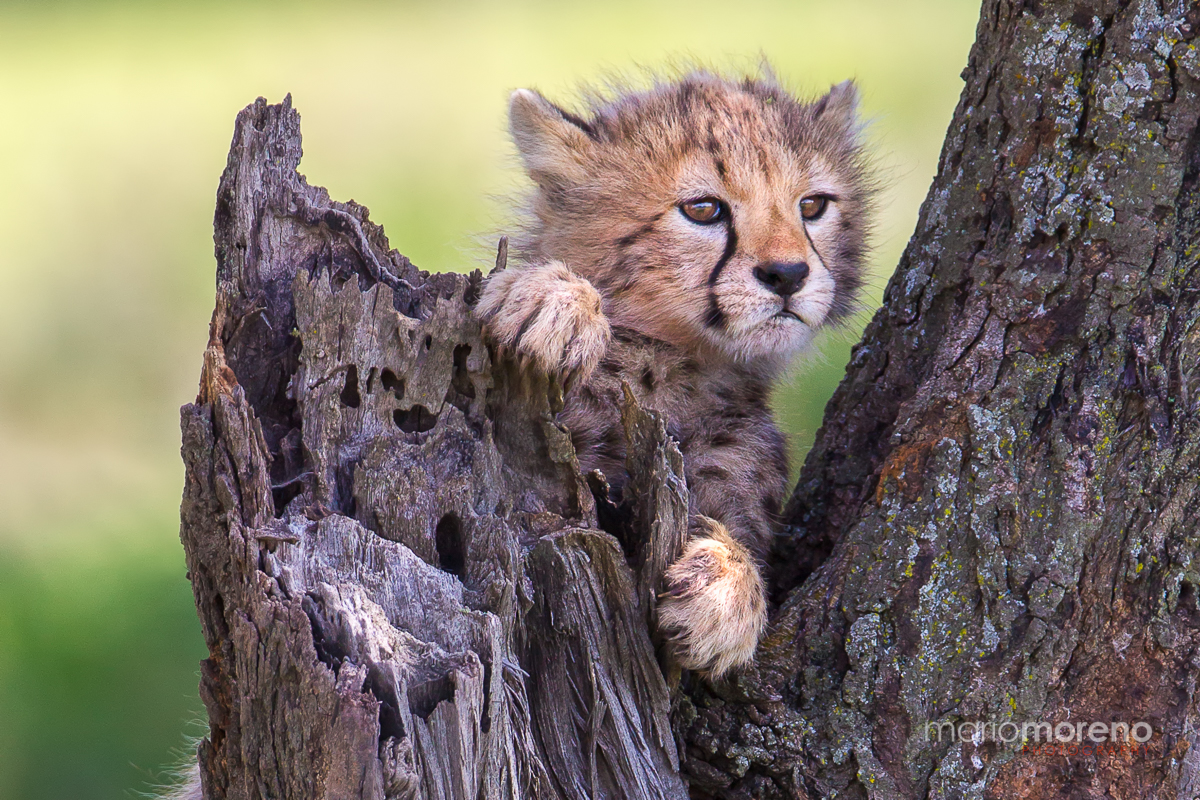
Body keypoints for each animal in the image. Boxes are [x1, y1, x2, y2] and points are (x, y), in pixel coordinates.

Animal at [477, 69, 873, 677]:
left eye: (812, 205)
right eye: (704, 209)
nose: (788, 274)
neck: (664, 365)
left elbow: (740, 543)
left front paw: (726, 589)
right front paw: (555, 298)